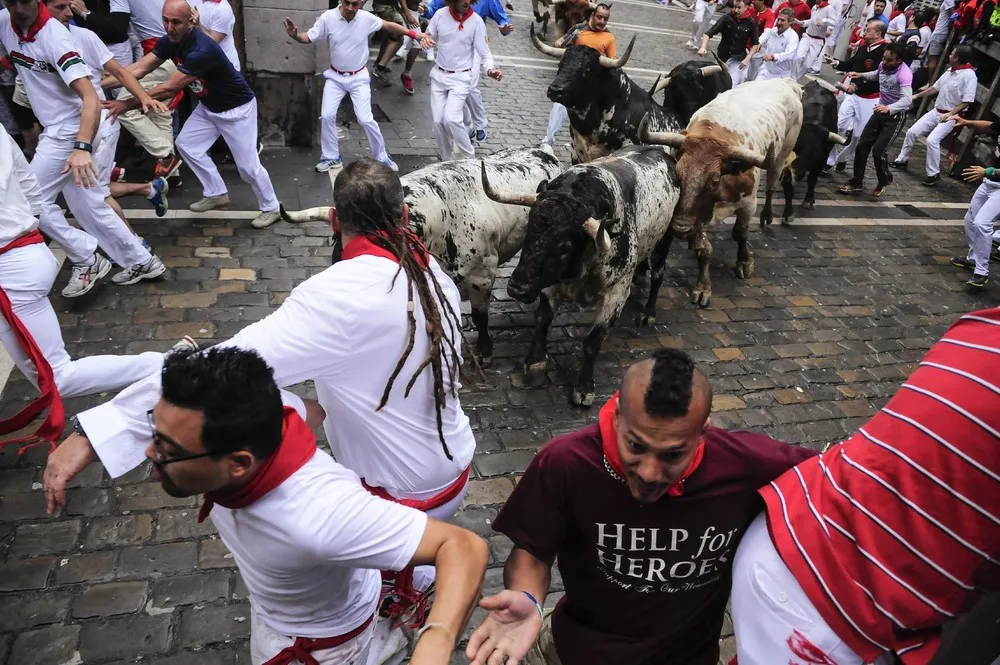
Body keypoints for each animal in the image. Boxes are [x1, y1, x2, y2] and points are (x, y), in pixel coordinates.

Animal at [282, 145, 564, 364]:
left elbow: (480, 316)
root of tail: (543, 149)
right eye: (338, 250)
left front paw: (484, 350)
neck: (442, 218)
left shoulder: (482, 276)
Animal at [482, 145, 680, 404]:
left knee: (658, 274)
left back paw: (648, 313)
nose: (517, 288)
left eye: (564, 246)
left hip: (665, 238)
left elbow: (593, 340)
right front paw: (535, 359)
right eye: (529, 231)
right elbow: (543, 317)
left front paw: (584, 387)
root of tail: (662, 151)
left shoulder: (616, 293)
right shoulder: (551, 284)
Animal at [640, 79, 812, 308]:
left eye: (713, 181)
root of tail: (785, 81)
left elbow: (740, 233)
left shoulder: (748, 204)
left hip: (783, 151)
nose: (680, 228)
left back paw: (768, 215)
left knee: (772, 184)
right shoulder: (697, 215)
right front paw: (703, 286)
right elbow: (704, 250)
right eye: (678, 174)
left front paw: (744, 261)